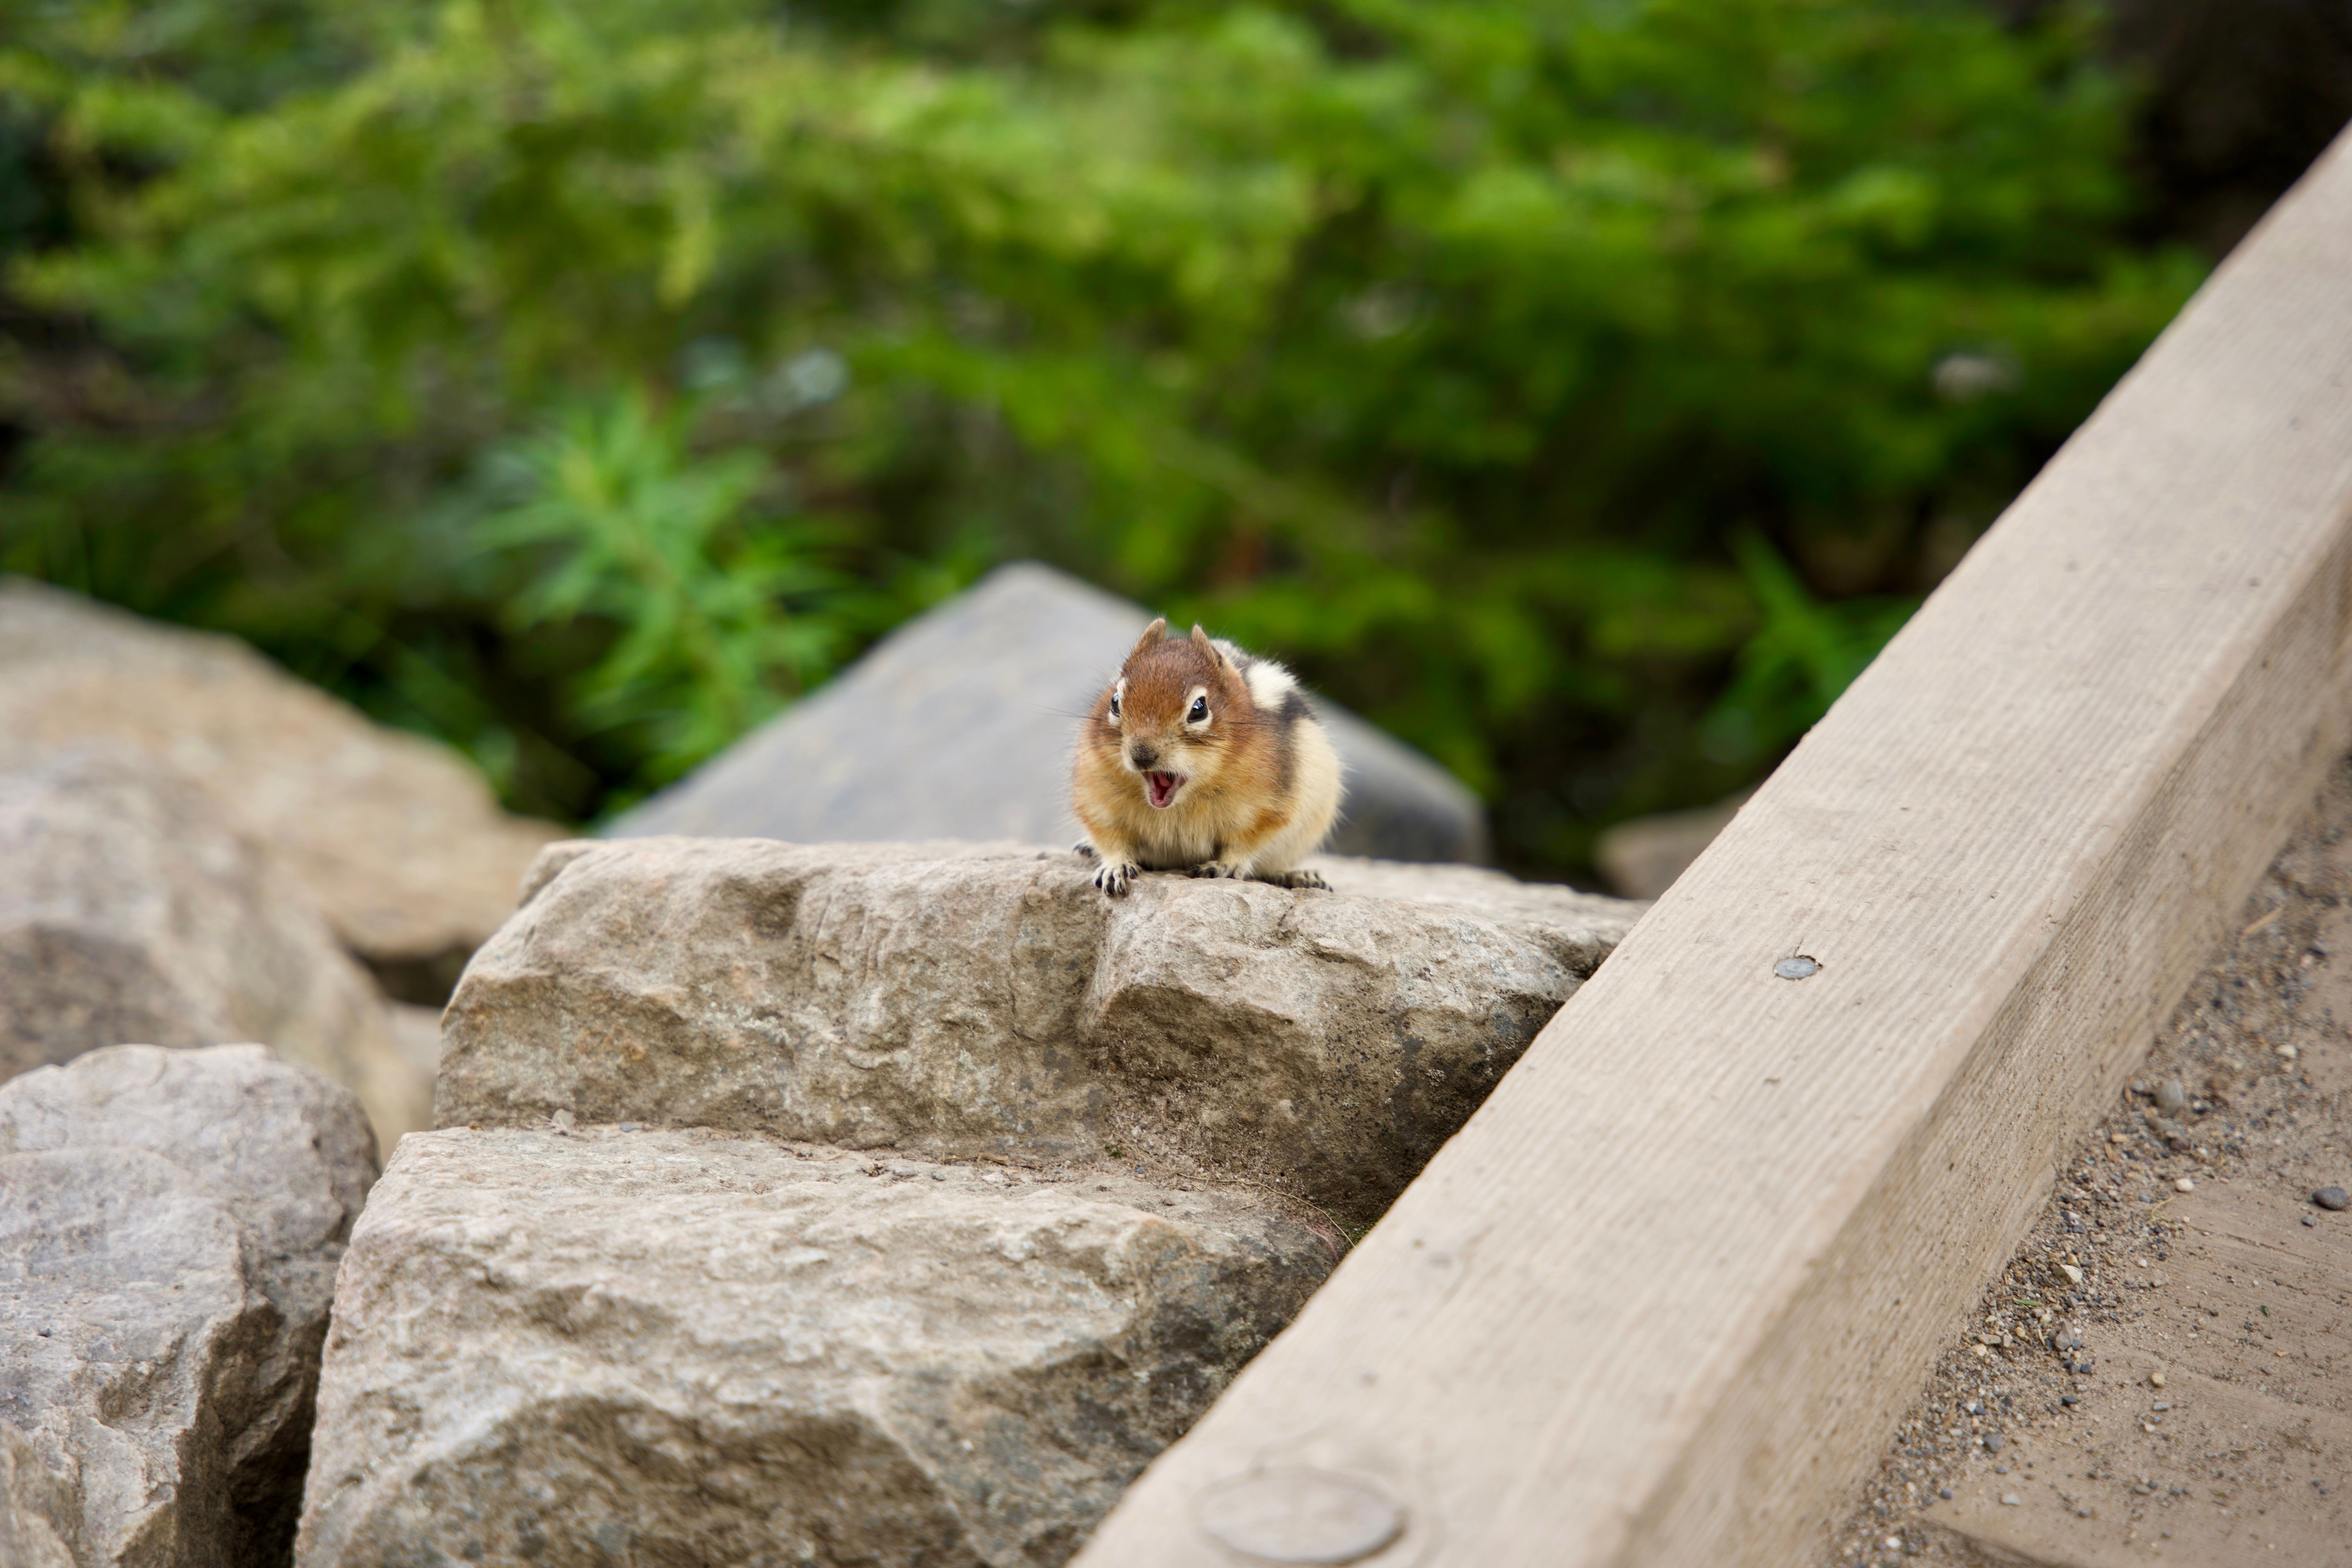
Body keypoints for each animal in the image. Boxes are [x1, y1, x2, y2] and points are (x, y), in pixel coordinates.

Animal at [1071, 617, 1342, 897]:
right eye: (1115, 701)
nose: (1141, 756)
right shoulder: (1097, 802)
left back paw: (1300, 875)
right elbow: (1111, 839)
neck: (1180, 804)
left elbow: (1246, 844)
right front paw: (1115, 867)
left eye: (1199, 709)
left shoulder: (1269, 811)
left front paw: (1225, 866)